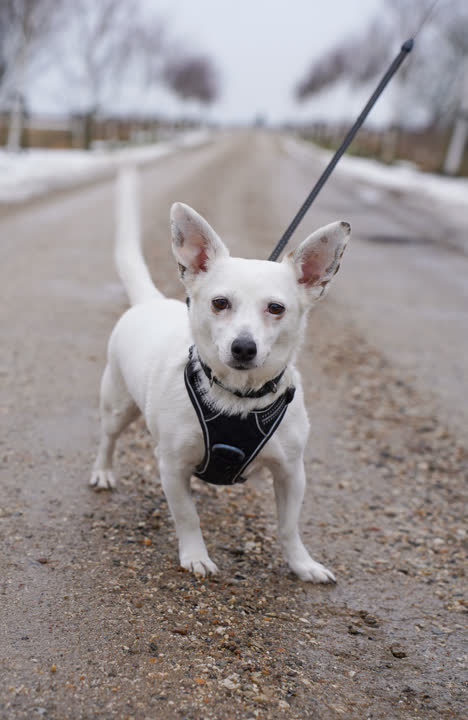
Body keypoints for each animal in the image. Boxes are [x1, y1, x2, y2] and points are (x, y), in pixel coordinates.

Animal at [90, 166, 350, 582]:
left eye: (276, 308)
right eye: (219, 303)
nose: (244, 347)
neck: (238, 397)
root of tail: (150, 300)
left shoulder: (291, 473)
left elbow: (288, 526)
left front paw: (302, 564)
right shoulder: (172, 467)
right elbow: (187, 516)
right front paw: (195, 555)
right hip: (116, 404)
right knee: (108, 439)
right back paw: (103, 472)